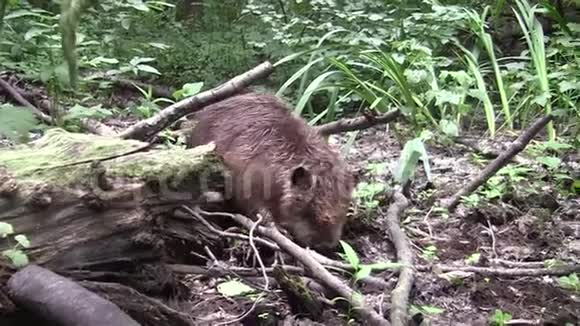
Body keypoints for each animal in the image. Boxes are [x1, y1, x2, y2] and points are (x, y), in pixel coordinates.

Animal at [188, 91, 356, 250]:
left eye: (344, 209)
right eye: (309, 210)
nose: (326, 245)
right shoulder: (248, 174)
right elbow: (252, 204)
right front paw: (280, 230)